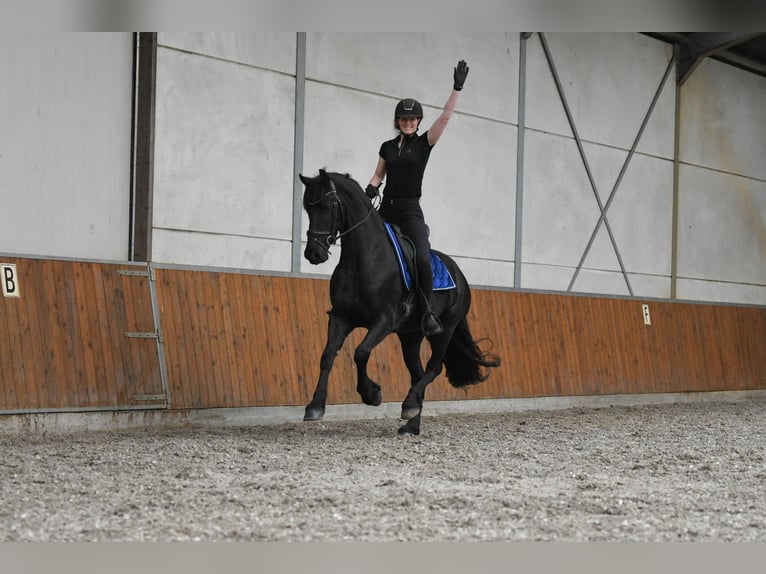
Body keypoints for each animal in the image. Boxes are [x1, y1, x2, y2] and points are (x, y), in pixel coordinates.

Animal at [298, 169, 500, 435]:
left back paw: (409, 406)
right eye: (307, 209)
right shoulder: (341, 318)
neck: (364, 258)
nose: (314, 254)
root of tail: (459, 275)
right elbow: (327, 355)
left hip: (444, 329)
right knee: (417, 374)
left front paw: (371, 394)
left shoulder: (384, 321)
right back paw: (411, 422)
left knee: (433, 368)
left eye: (326, 206)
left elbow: (361, 353)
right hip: (410, 336)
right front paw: (315, 406)